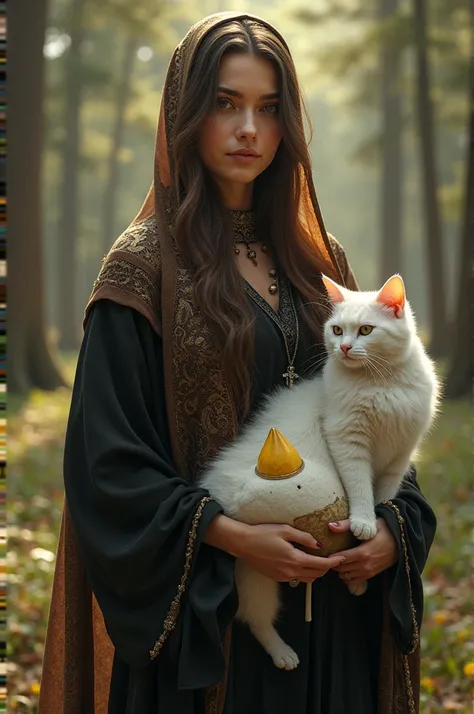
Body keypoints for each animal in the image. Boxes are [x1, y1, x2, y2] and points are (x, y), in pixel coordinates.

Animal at [198, 272, 438, 668]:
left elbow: (383, 498)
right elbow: (359, 489)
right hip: (258, 567)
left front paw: (364, 560)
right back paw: (284, 654)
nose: (344, 348)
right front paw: (363, 523)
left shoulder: (400, 457)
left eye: (367, 330)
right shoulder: (348, 443)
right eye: (337, 330)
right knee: (255, 618)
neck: (381, 381)